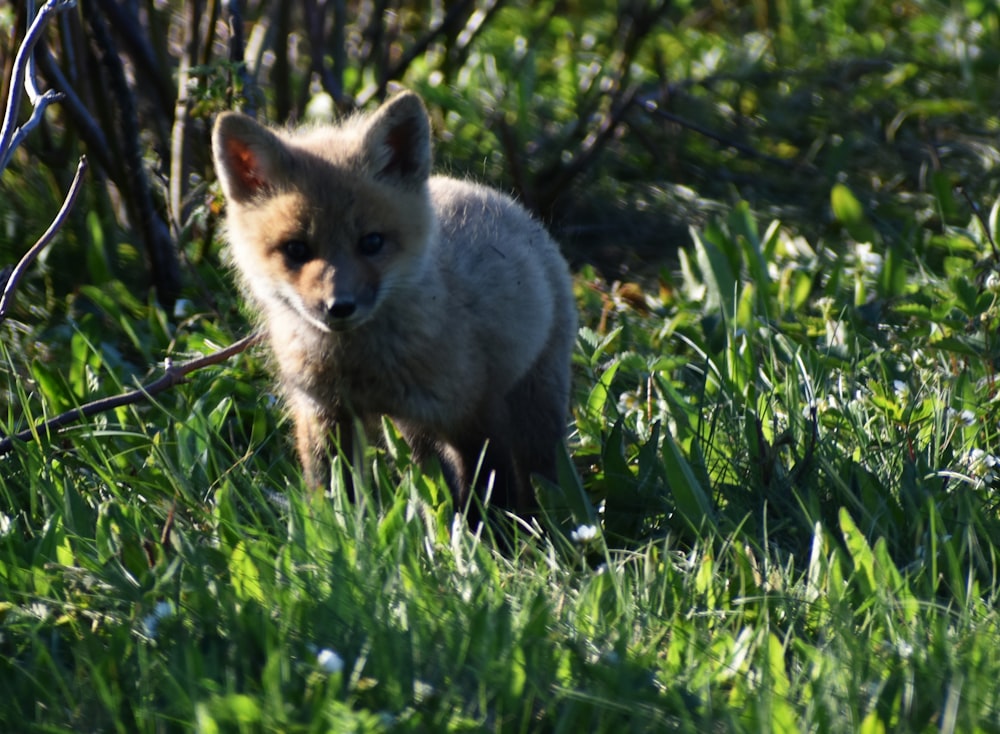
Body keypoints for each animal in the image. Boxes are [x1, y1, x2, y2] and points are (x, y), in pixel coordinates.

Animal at [209, 92, 580, 520]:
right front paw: (339, 530)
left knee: (541, 471)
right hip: (414, 431)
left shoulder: (476, 414)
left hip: (533, 406)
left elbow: (490, 499)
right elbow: (333, 495)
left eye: (372, 242)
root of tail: (495, 195)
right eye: (296, 249)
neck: (365, 370)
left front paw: (493, 537)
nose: (339, 307)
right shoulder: (326, 414)